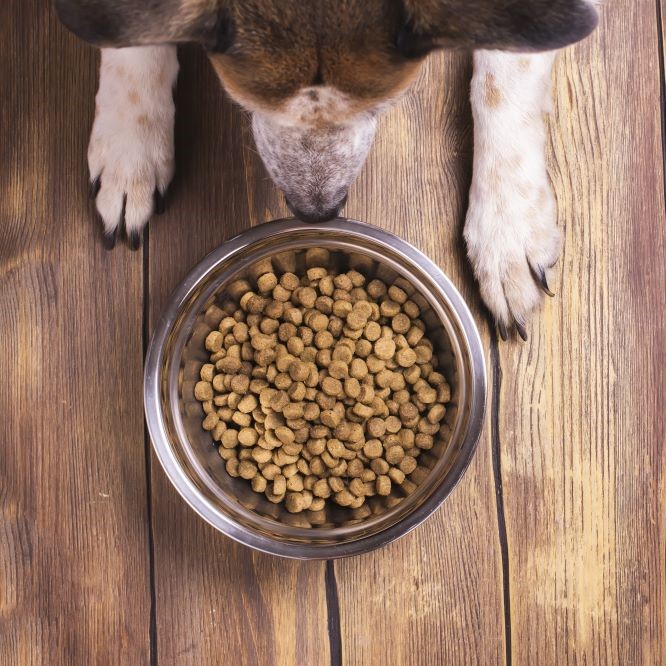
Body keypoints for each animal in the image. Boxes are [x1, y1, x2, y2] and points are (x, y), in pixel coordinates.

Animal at [55, 1, 596, 338]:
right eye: (243, 102)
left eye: (382, 107)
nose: (317, 211)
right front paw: (129, 146)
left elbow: (505, 73)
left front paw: (508, 230)